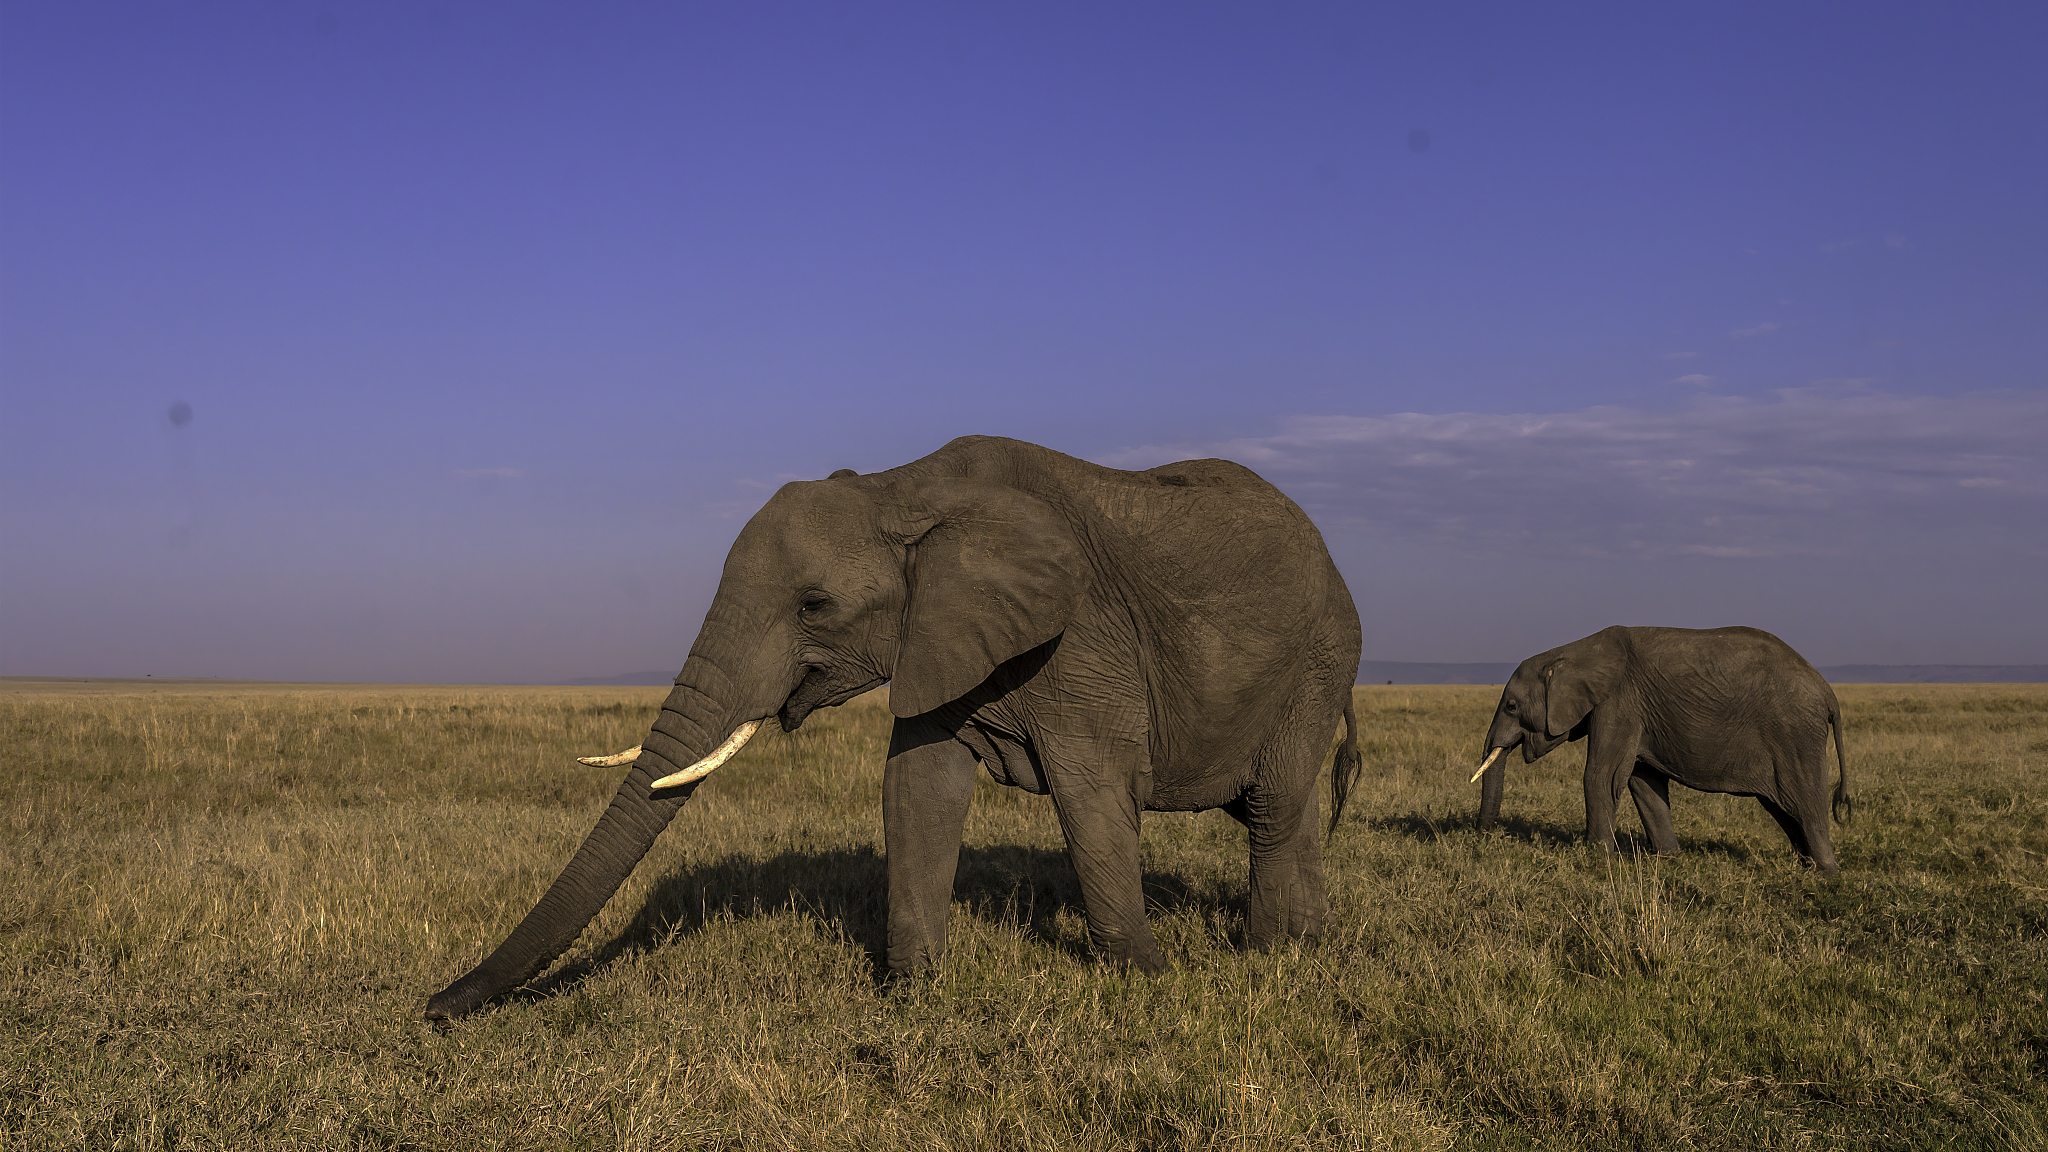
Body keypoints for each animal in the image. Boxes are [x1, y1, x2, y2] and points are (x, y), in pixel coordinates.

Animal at [425, 435, 1363, 1019]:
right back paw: (1309, 950)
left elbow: (1094, 796)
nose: (431, 1008)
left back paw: (1267, 958)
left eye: (814, 605)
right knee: (1287, 811)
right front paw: (914, 997)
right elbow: (918, 788)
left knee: (1274, 807)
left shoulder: (1081, 640)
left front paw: (1147, 981)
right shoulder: (940, 633)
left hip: (1321, 653)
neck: (900, 487)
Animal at [1470, 625, 1852, 874]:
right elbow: (1643, 782)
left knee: (1803, 800)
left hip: (1795, 733)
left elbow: (1601, 777)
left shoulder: (1618, 702)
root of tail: (1828, 691)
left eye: (1512, 707)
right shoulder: (1639, 711)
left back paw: (1826, 873)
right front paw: (1669, 859)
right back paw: (1807, 866)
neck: (1574, 652)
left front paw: (1597, 858)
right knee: (1782, 807)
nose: (1487, 838)